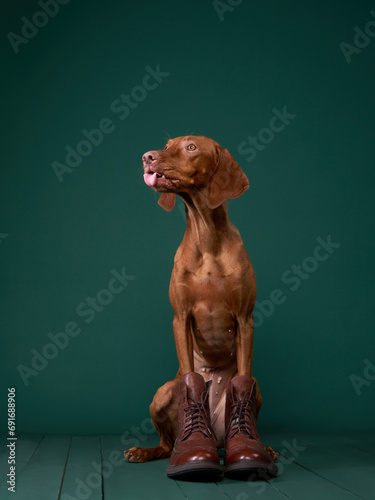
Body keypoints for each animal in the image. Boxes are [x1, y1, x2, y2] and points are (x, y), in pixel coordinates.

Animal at [125, 135, 278, 478]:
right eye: (168, 144)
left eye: (191, 147)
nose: (146, 157)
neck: (207, 236)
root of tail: (218, 438)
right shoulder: (180, 318)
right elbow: (189, 377)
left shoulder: (245, 319)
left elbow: (244, 376)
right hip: (161, 394)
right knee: (167, 442)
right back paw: (147, 451)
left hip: (259, 391)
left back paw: (267, 450)